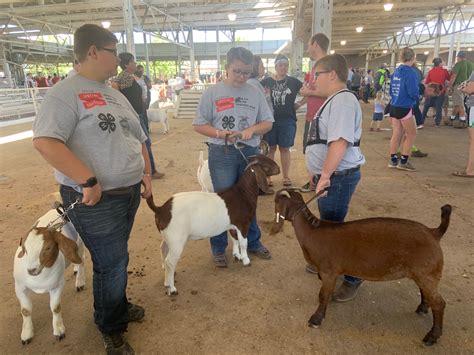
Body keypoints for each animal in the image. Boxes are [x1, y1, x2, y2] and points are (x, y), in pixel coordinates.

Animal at [12, 210, 85, 346]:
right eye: (25, 249)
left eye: (48, 247)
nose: (31, 270)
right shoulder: (19, 287)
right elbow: (25, 310)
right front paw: (26, 335)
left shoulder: (57, 286)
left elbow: (55, 308)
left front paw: (59, 331)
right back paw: (75, 270)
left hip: (80, 244)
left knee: (81, 260)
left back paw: (80, 282)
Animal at [146, 154, 280, 296]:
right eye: (266, 165)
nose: (278, 169)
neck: (242, 193)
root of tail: (160, 209)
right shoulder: (243, 224)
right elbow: (244, 242)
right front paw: (246, 260)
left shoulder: (232, 225)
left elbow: (235, 239)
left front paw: (236, 255)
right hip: (177, 239)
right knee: (170, 261)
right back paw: (171, 287)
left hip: (168, 236)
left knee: (163, 248)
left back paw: (166, 274)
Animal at [270, 191, 452, 346]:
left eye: (276, 201)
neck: (312, 230)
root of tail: (434, 232)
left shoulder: (329, 271)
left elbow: (323, 295)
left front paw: (316, 319)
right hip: (422, 273)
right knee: (425, 292)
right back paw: (422, 308)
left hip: (427, 273)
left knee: (440, 304)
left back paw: (432, 336)